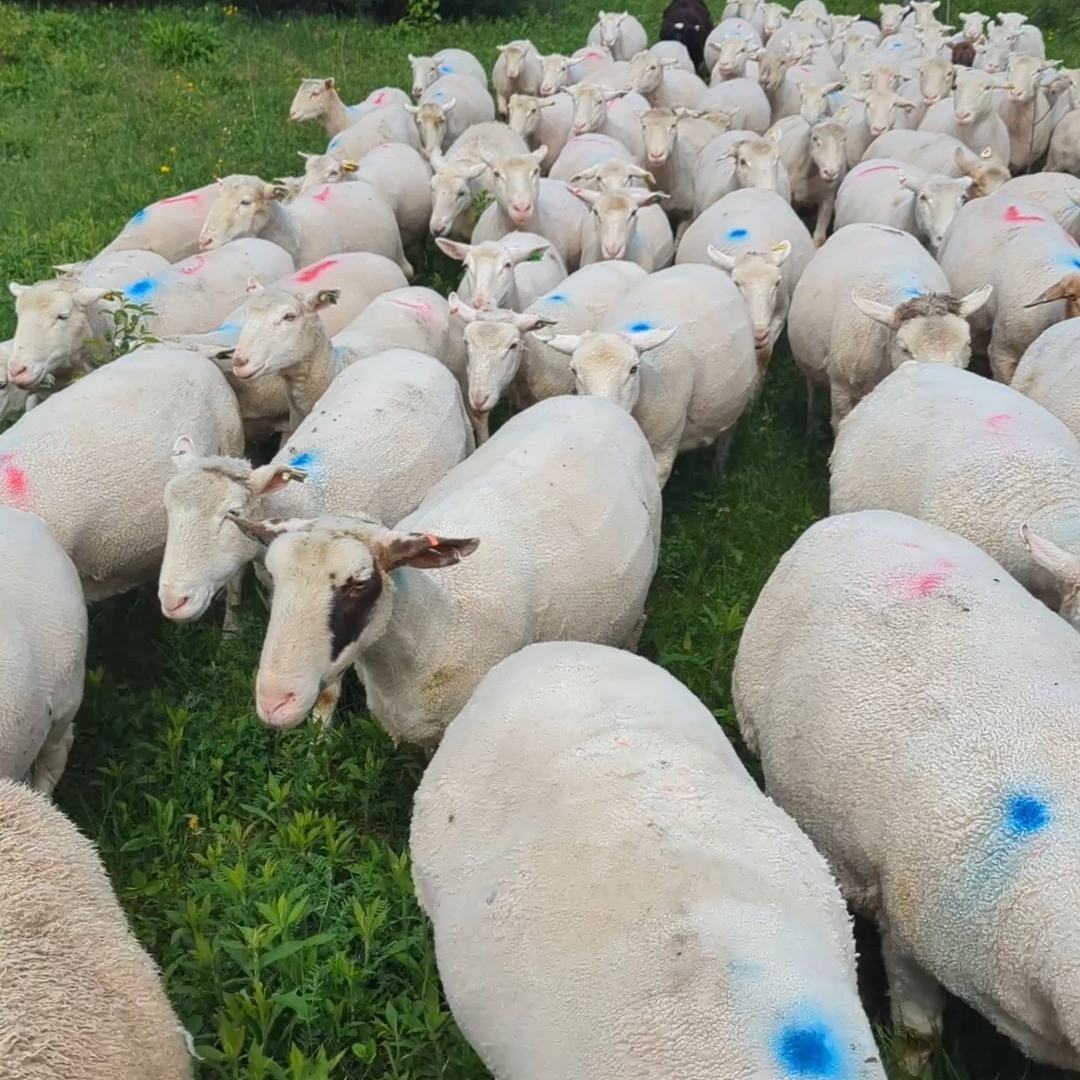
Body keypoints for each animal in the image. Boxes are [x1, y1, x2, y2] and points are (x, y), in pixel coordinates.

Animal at [540, 263, 757, 485]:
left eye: (633, 369)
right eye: (574, 370)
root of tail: (701, 266)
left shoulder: (662, 450)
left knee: (728, 432)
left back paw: (719, 469)